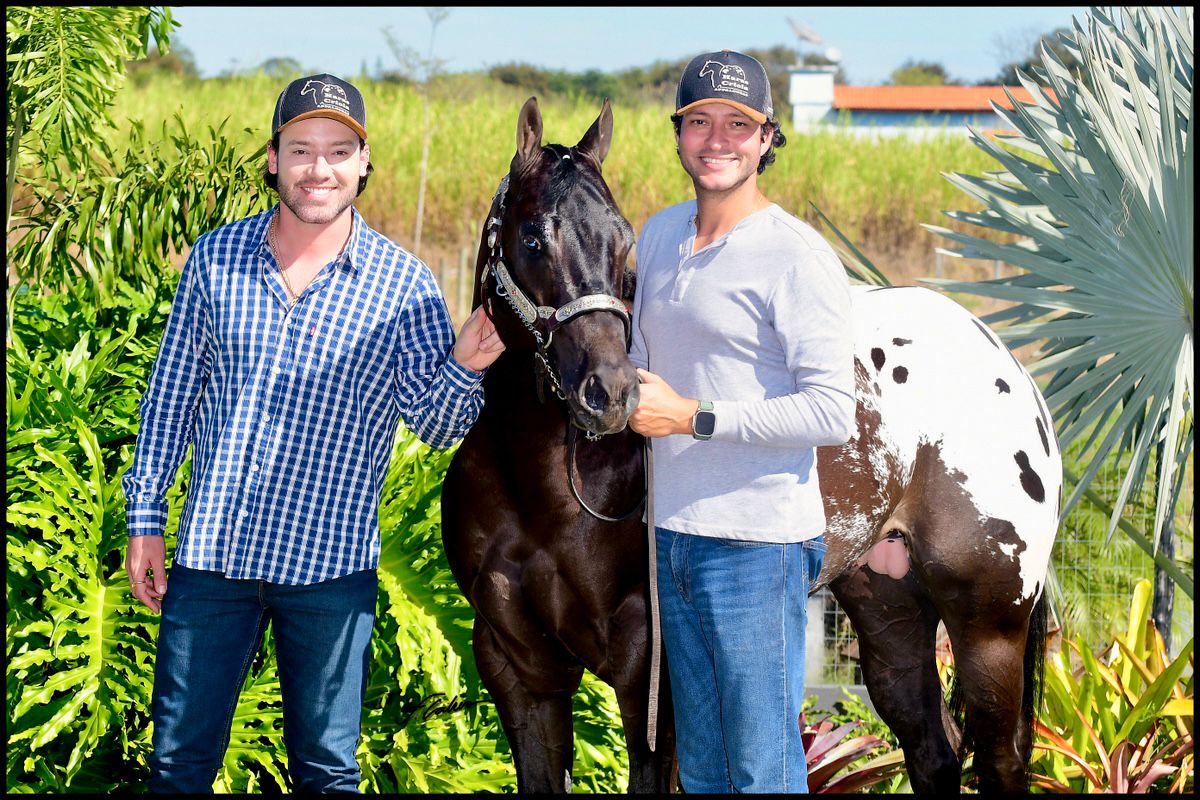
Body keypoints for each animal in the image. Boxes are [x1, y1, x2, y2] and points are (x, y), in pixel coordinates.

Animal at [441, 97, 1060, 791]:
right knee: (934, 749)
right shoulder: (519, 672)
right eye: (532, 238)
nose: (611, 391)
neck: (541, 492)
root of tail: (1006, 365)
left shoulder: (651, 679)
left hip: (989, 623)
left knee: (1002, 758)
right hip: (887, 607)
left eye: (625, 244)